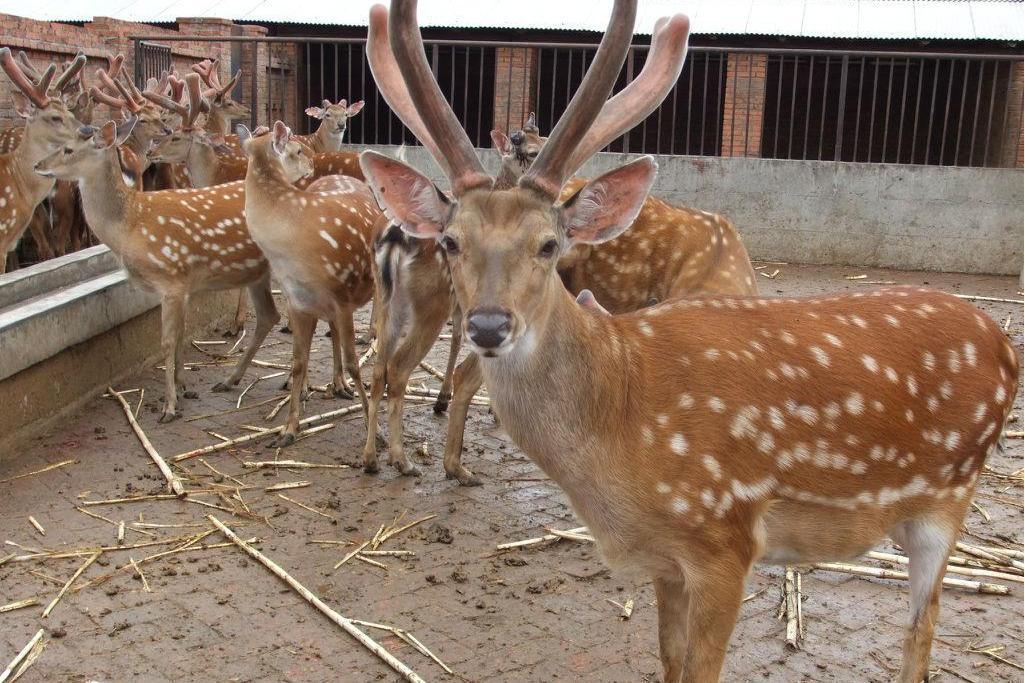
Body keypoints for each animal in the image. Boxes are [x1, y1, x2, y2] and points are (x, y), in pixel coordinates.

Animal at [33, 93, 311, 420]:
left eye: (68, 148)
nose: (38, 164)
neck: (130, 225)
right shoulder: (184, 283)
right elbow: (180, 335)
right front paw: (183, 387)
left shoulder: (170, 279)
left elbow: (166, 341)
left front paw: (169, 406)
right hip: (256, 271)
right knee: (270, 315)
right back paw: (232, 380)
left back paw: (301, 388)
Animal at [237, 119, 383, 449]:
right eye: (297, 150)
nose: (312, 166)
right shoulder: (298, 302)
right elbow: (297, 363)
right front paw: (288, 430)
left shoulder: (341, 294)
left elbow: (355, 362)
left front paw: (376, 432)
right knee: (330, 334)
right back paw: (332, 385)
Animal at [356, 2, 1020, 676]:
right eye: (450, 241)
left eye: (549, 243)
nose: (489, 325)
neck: (623, 421)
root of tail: (1002, 343)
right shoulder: (666, 559)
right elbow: (669, 660)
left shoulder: (723, 535)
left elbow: (703, 667)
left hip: (949, 497)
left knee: (921, 626)